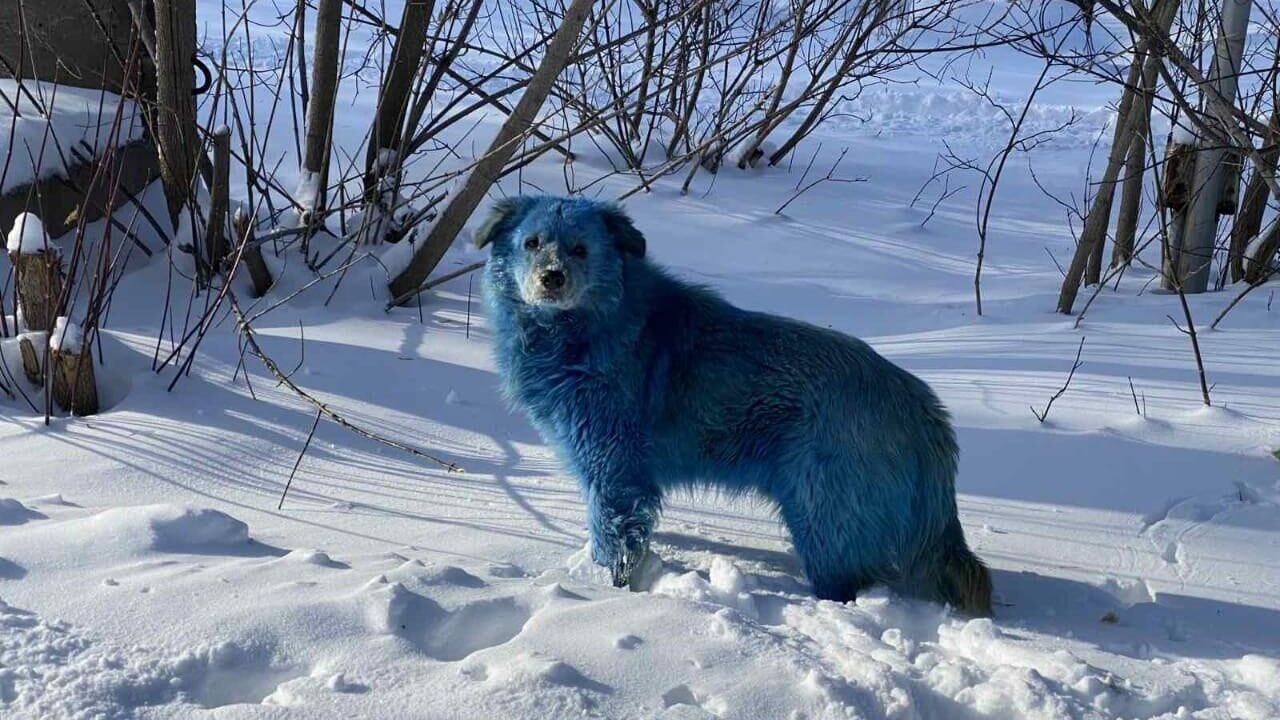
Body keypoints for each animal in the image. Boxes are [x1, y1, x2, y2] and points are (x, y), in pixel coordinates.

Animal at [481, 194, 988, 609]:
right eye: (532, 243)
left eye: (581, 248)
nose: (551, 278)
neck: (591, 327)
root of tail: (922, 408)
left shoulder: (614, 472)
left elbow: (614, 540)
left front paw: (606, 592)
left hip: (822, 517)